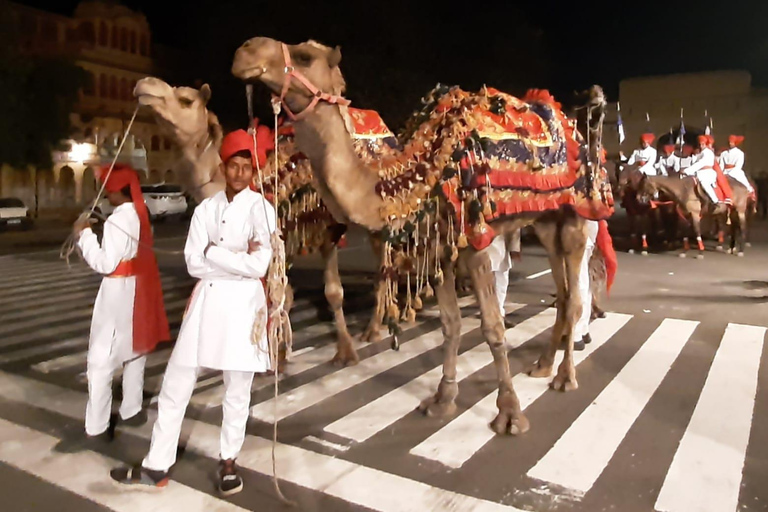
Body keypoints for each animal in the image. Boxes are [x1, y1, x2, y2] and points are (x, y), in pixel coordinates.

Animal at [133, 76, 396, 366]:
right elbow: (281, 295)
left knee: (383, 266)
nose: (145, 84)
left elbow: (333, 292)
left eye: (186, 100)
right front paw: (277, 357)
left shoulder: (324, 228)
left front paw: (346, 352)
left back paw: (373, 329)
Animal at [231, 38, 616, 434]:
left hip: (579, 213)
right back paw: (542, 365)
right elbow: (450, 324)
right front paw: (443, 398)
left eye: (305, 56)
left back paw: (565, 377)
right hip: (546, 221)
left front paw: (509, 414)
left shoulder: (476, 239)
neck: (420, 173)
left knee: (575, 296)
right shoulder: (442, 247)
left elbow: (493, 328)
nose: (247, 51)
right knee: (564, 291)